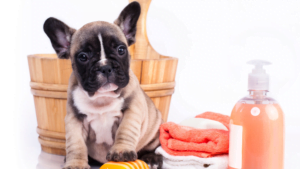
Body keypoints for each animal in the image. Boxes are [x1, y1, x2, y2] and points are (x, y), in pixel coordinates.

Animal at [43, 1, 163, 169]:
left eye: (121, 50)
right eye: (83, 57)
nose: (105, 67)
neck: (101, 97)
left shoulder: (132, 109)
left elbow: (125, 130)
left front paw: (122, 152)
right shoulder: (74, 119)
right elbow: (76, 143)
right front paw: (76, 163)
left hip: (155, 130)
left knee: (152, 147)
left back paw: (152, 158)